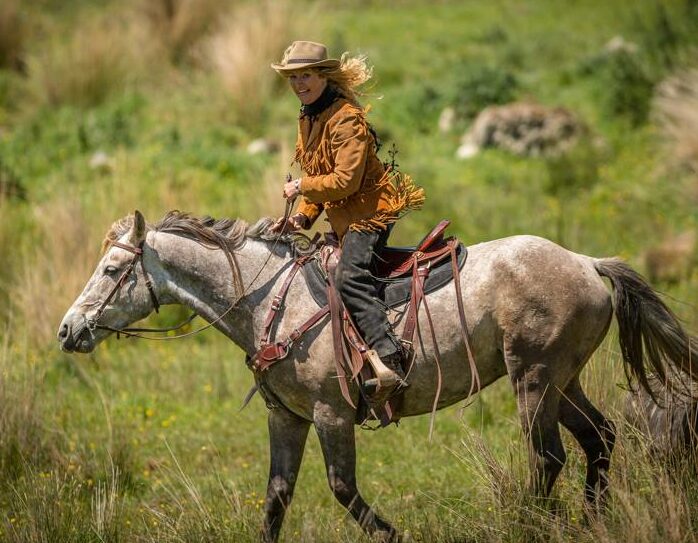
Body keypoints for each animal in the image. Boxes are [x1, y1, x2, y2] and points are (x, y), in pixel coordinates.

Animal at [57, 210, 698, 542]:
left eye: (112, 269)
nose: (68, 330)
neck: (271, 302)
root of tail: (587, 263)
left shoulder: (331, 413)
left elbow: (342, 488)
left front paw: (391, 534)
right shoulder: (286, 417)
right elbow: (277, 496)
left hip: (534, 380)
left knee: (548, 456)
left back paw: (529, 525)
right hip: (563, 380)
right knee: (599, 439)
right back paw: (591, 521)